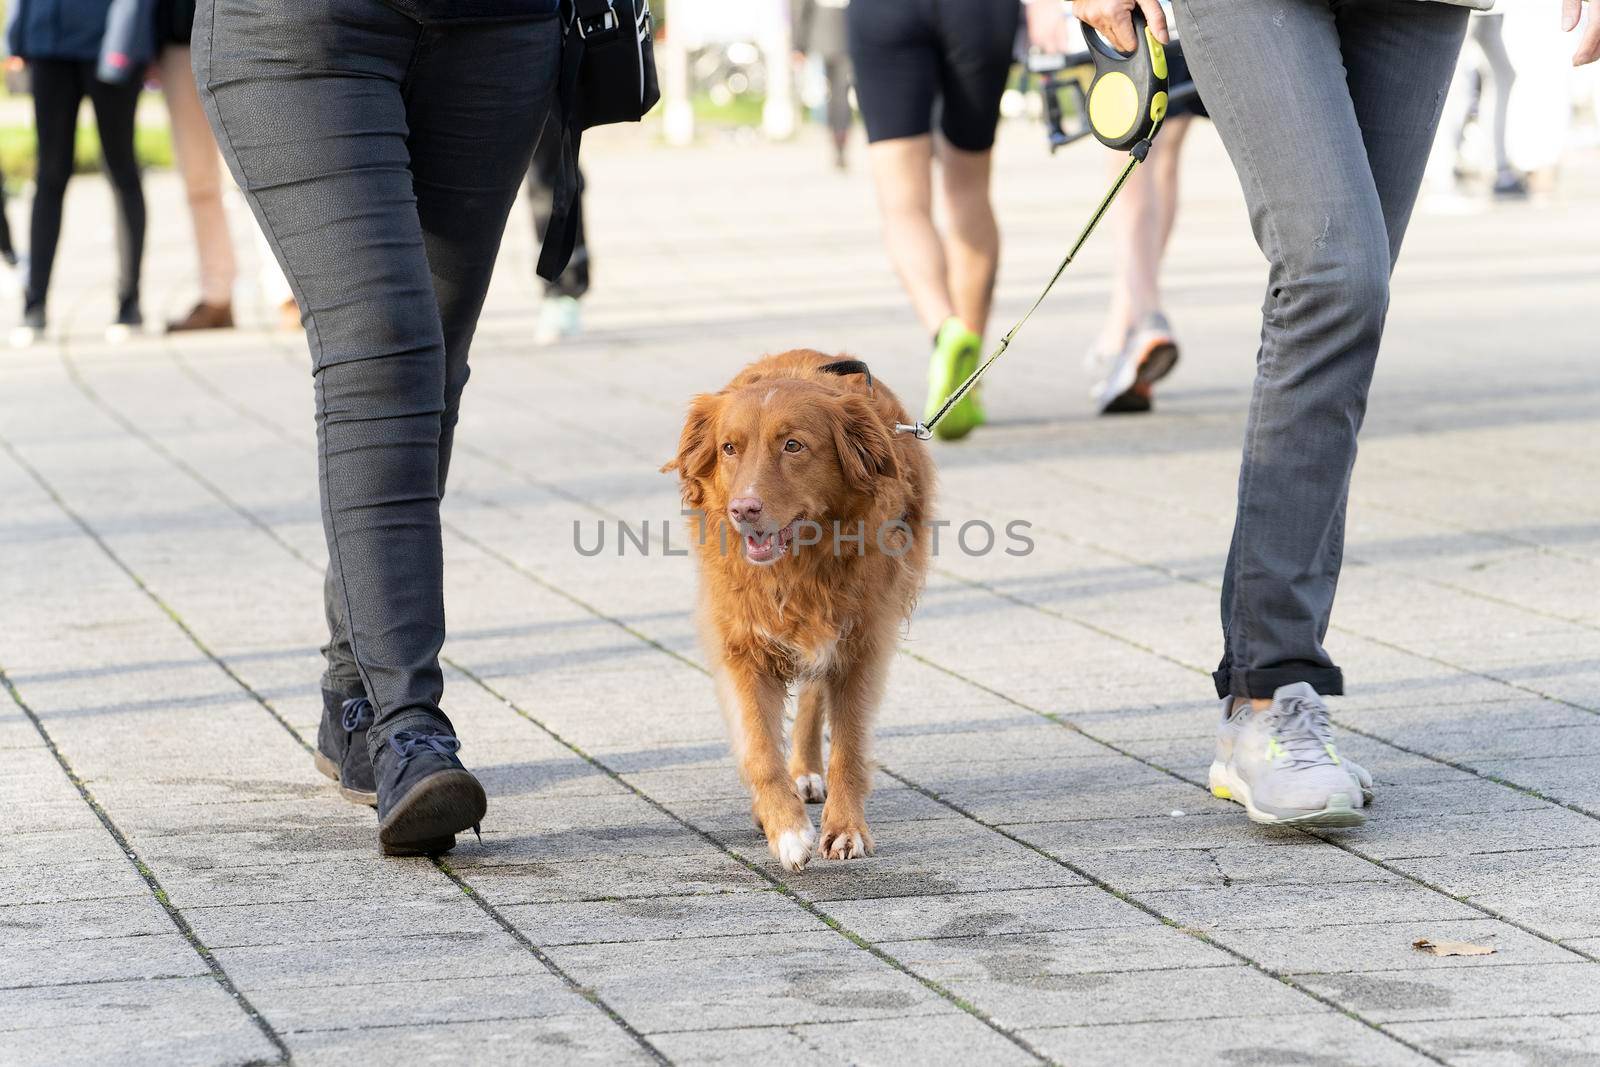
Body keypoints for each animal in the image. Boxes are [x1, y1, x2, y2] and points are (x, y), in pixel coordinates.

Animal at [662, 355, 934, 870]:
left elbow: (848, 747)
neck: (798, 569)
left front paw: (844, 828)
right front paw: (786, 829)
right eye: (729, 448)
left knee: (812, 695)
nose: (743, 510)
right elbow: (759, 748)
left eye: (793, 446)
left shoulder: (862, 644)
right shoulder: (741, 648)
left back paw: (807, 772)